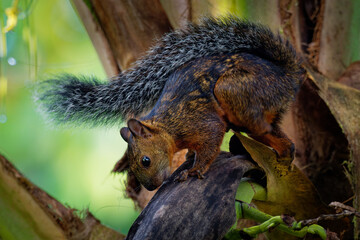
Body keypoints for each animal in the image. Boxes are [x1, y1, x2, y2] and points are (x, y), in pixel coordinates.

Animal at [36, 15, 306, 190]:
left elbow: (210, 144)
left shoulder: (201, 123)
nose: (152, 188)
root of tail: (287, 73)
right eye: (129, 167)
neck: (168, 127)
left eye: (145, 160)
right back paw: (283, 160)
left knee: (259, 126)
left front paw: (194, 169)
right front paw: (189, 159)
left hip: (236, 91)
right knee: (281, 139)